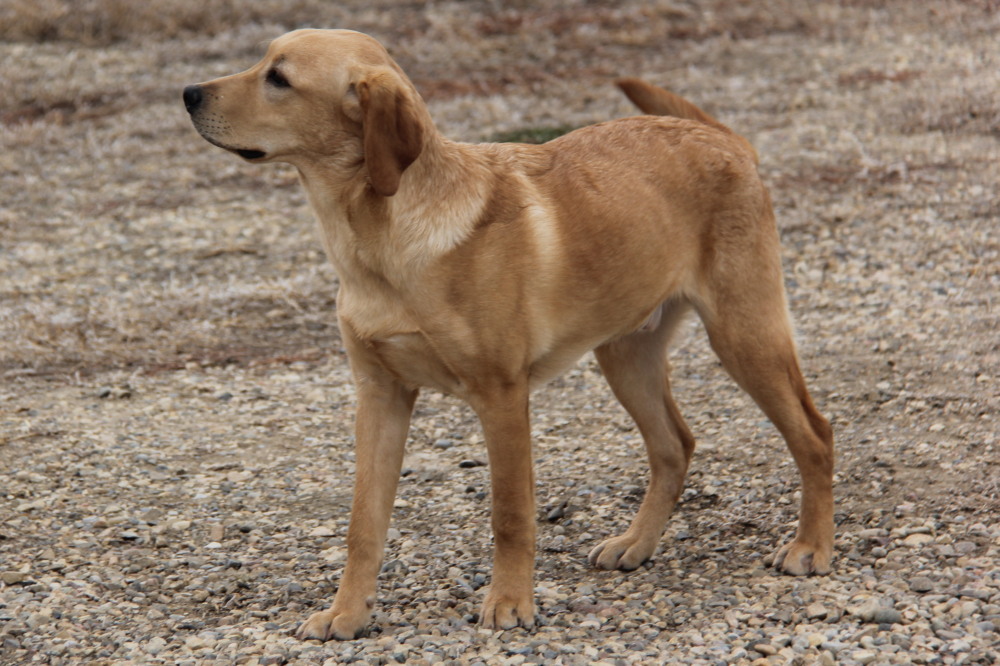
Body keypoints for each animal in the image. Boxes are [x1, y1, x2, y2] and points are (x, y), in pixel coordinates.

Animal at [184, 29, 832, 640]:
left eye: (279, 78)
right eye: (263, 61)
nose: (188, 93)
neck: (378, 238)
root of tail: (724, 139)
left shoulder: (500, 396)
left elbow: (510, 515)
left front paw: (511, 603)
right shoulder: (379, 395)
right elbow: (363, 524)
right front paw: (346, 614)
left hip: (745, 336)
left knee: (815, 435)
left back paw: (812, 547)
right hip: (626, 355)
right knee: (675, 445)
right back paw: (637, 543)